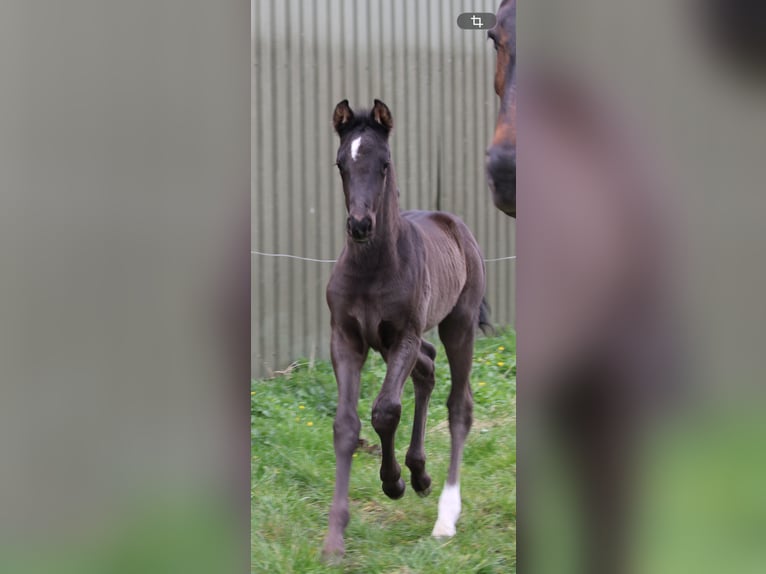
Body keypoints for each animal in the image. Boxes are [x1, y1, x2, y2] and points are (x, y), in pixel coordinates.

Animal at [321, 99, 491, 560]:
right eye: (341, 163)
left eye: (384, 163)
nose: (360, 225)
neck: (372, 266)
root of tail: (454, 223)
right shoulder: (347, 339)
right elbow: (346, 425)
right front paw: (334, 538)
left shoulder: (405, 335)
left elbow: (385, 410)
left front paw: (393, 482)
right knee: (427, 369)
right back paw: (420, 473)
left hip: (458, 325)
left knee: (459, 405)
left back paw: (445, 514)